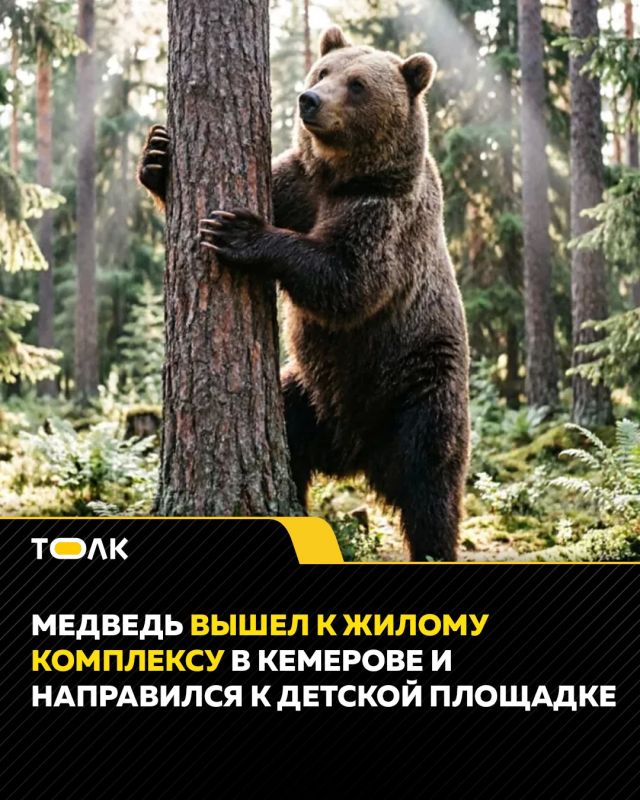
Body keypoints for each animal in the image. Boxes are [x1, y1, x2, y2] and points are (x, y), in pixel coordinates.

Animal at [138, 25, 470, 561]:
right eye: (323, 70)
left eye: (357, 85)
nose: (308, 100)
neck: (342, 176)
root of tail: (355, 453)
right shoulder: (297, 183)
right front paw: (158, 156)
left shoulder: (383, 214)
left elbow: (349, 280)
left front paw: (237, 231)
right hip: (308, 394)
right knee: (292, 440)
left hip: (419, 386)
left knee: (432, 483)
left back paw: (433, 545)